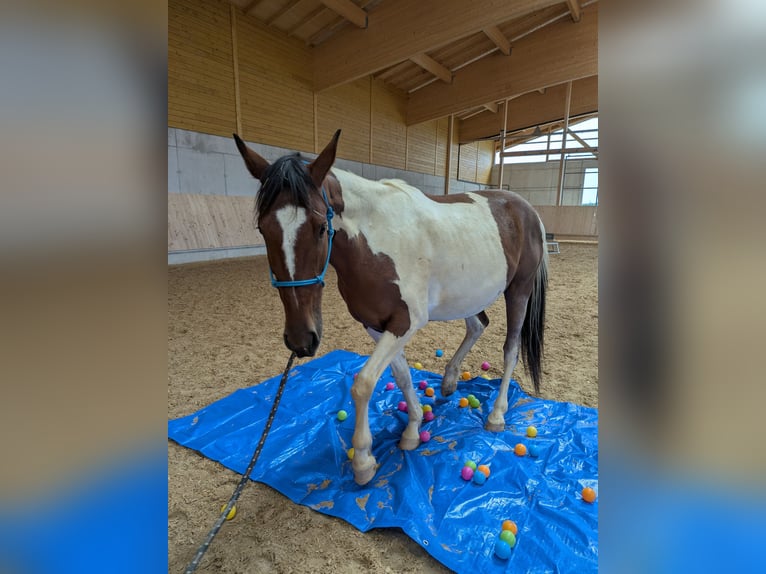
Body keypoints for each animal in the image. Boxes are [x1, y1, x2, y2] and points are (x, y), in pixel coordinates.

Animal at [233, 130, 548, 486]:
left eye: (320, 228)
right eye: (263, 229)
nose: (301, 340)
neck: (376, 239)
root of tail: (527, 210)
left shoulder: (405, 322)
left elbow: (363, 384)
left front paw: (364, 460)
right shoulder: (376, 324)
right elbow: (402, 376)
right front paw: (412, 429)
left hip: (518, 291)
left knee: (510, 349)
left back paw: (496, 414)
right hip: (471, 295)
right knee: (477, 325)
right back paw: (450, 381)